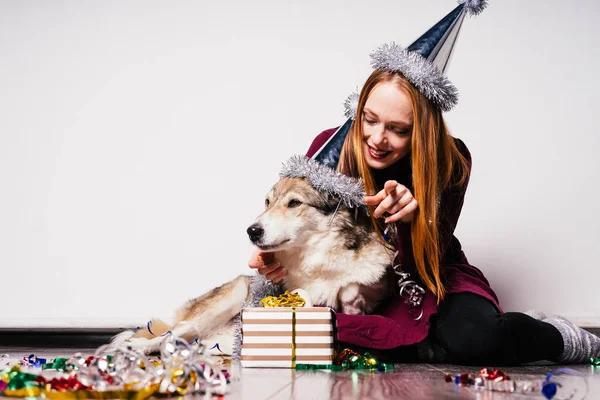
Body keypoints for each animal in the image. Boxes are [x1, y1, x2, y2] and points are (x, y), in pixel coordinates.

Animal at [110, 173, 396, 354]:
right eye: (267, 202)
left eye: (294, 203)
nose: (252, 231)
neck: (317, 261)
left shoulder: (378, 285)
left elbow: (353, 288)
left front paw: (348, 298)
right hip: (234, 293)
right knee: (170, 333)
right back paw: (135, 347)